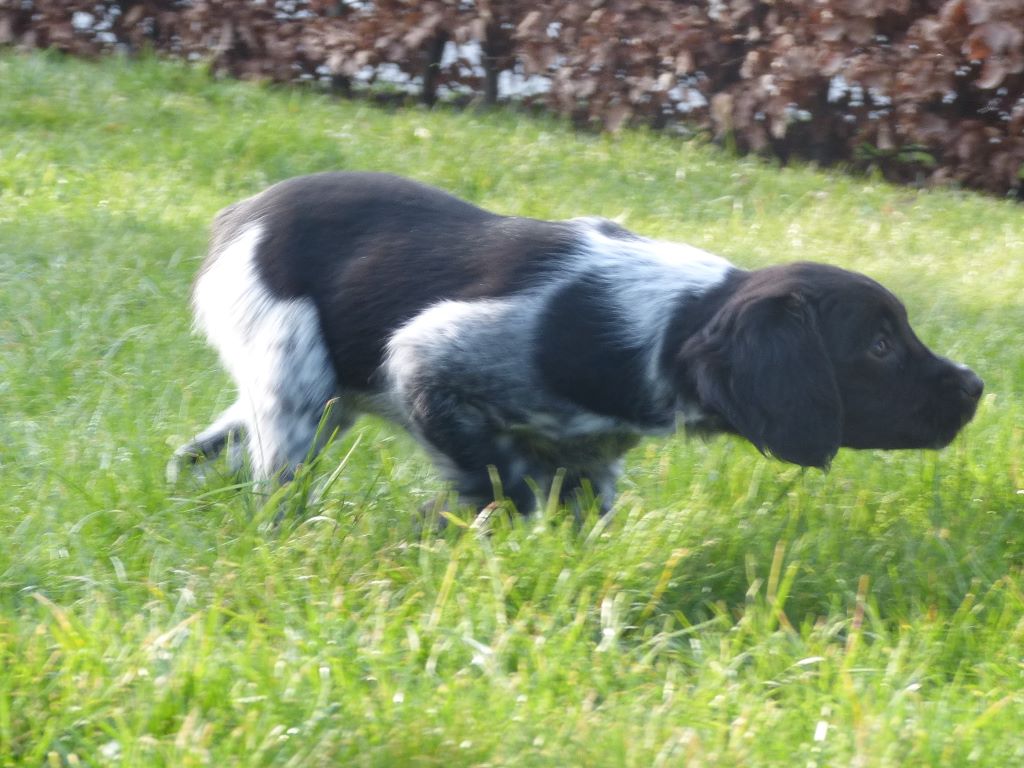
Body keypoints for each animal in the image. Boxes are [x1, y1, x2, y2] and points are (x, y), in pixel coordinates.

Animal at [167, 171, 983, 514]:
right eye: (879, 346)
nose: (977, 386)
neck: (672, 323)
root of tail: (239, 217)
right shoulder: (430, 358)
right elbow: (502, 482)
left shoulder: (589, 457)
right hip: (295, 379)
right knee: (274, 474)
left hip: (321, 397)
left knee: (208, 450)